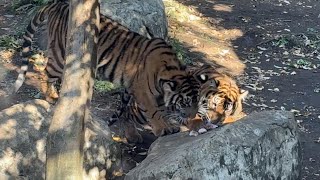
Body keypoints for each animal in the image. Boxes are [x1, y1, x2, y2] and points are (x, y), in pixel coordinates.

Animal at [13, 1, 199, 136]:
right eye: (186, 102)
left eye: (197, 102)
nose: (193, 116)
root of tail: (58, 5)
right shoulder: (143, 92)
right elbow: (153, 112)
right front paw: (163, 128)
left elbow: (160, 111)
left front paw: (170, 126)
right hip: (60, 55)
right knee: (46, 72)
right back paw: (51, 97)